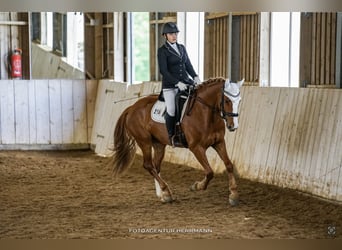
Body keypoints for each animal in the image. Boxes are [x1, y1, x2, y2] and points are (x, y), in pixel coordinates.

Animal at [109, 77, 243, 206]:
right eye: (227, 100)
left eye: (239, 100)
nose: (233, 126)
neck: (204, 113)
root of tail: (131, 108)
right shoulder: (196, 148)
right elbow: (210, 172)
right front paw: (197, 186)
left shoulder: (219, 142)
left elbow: (229, 165)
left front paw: (233, 195)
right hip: (144, 141)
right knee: (148, 165)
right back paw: (167, 192)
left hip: (158, 144)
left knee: (155, 166)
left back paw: (163, 195)